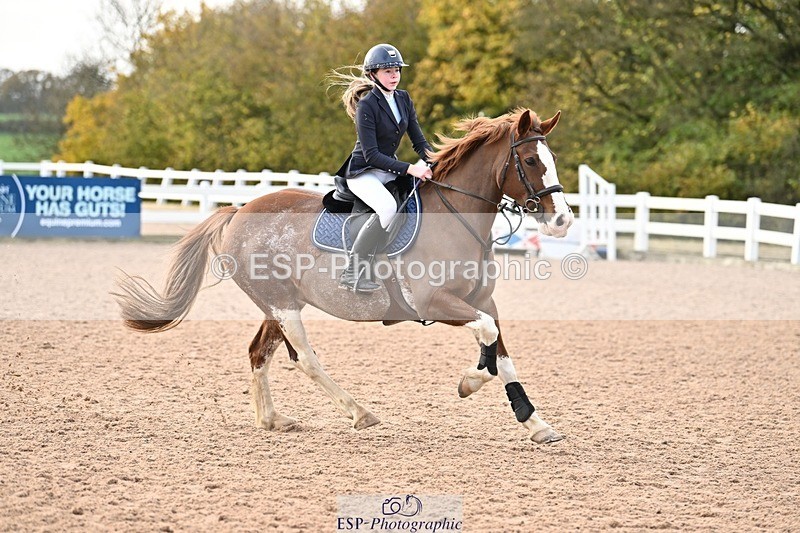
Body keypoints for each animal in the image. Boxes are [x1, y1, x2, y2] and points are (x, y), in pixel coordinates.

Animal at [114, 108, 574, 444]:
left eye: (552, 160)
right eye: (530, 161)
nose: (563, 221)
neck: (456, 217)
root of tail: (240, 210)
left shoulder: (482, 301)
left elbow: (500, 349)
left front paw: (534, 422)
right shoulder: (436, 303)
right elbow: (487, 339)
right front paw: (469, 382)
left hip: (278, 304)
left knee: (259, 352)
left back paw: (272, 420)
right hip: (283, 306)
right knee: (304, 358)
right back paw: (359, 412)